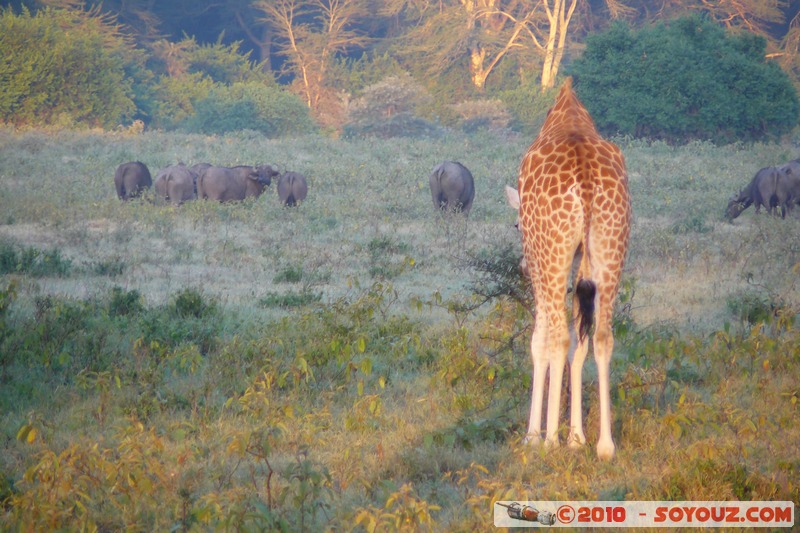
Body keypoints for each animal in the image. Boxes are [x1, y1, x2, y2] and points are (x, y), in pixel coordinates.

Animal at [506, 77, 632, 460]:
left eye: (516, 225)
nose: (519, 266)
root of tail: (585, 178)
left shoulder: (541, 264)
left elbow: (540, 340)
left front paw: (536, 435)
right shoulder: (580, 270)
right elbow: (582, 343)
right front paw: (576, 437)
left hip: (551, 254)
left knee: (559, 337)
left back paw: (549, 441)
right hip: (610, 246)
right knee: (602, 337)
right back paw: (605, 445)